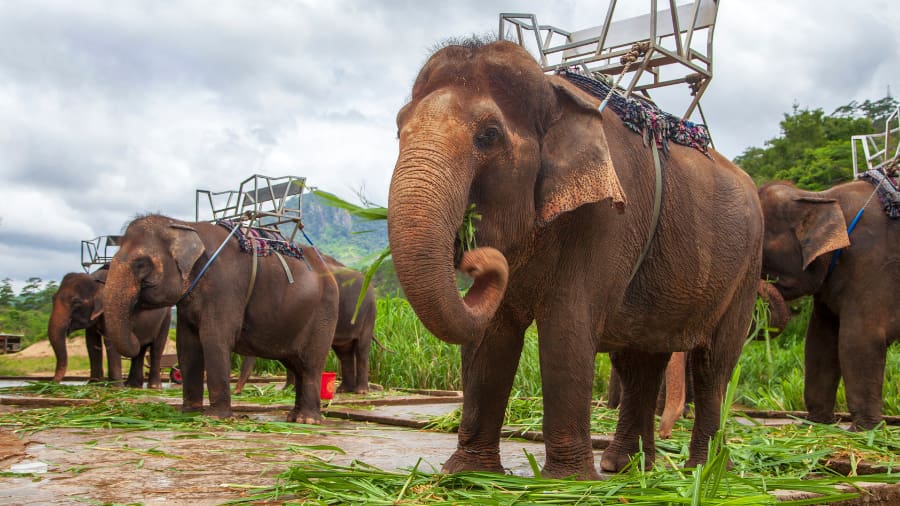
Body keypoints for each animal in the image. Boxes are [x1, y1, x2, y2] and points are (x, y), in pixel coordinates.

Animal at [100, 214, 339, 423]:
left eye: (141, 263)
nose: (137, 336)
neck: (185, 225)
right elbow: (187, 345)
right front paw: (189, 413)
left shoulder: (225, 288)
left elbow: (214, 339)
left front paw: (215, 418)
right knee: (296, 363)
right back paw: (294, 417)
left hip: (324, 313)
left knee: (310, 364)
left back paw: (307, 420)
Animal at [234, 254, 376, 395]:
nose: (236, 391)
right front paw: (289, 390)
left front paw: (291, 390)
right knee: (343, 351)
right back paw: (343, 390)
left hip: (369, 313)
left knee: (361, 349)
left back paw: (361, 391)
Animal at [387, 40, 763, 478]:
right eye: (399, 129)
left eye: (489, 135)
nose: (475, 258)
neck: (554, 94)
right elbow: (491, 336)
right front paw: (469, 474)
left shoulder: (609, 217)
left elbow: (566, 327)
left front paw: (565, 482)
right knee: (640, 361)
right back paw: (628, 468)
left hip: (746, 271)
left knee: (712, 366)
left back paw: (705, 471)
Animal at [759, 181, 900, 430]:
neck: (821, 197)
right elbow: (820, 341)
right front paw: (817, 424)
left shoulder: (871, 264)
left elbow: (858, 339)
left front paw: (865, 431)